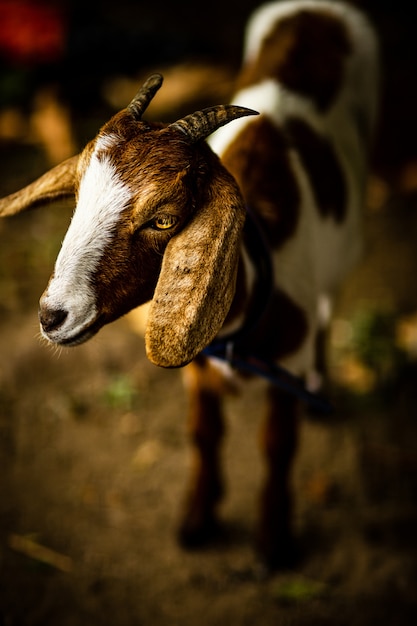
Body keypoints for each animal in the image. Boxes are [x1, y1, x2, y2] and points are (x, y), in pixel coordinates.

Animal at [0, 0, 376, 564]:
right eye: (78, 197)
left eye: (164, 219)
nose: (52, 316)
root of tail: (318, 10)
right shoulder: (197, 364)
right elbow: (204, 433)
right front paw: (197, 520)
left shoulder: (284, 370)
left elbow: (277, 446)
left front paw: (273, 541)